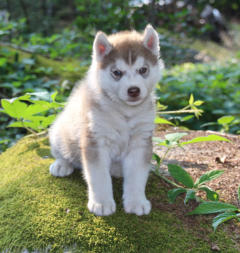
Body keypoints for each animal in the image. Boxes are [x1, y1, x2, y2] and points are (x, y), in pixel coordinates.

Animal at [49, 24, 164, 216]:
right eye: (117, 72)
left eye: (143, 70)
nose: (134, 90)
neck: (125, 112)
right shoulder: (95, 140)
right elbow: (99, 176)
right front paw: (101, 203)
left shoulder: (141, 141)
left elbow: (137, 176)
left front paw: (136, 201)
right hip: (60, 133)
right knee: (61, 153)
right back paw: (61, 165)